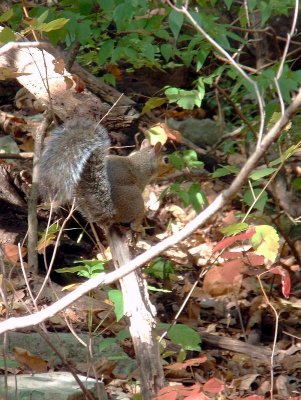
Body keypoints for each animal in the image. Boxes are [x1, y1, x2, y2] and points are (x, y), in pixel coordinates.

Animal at [39, 118, 171, 228]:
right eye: (166, 160)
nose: (173, 169)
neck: (142, 158)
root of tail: (111, 214)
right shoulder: (142, 179)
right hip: (135, 200)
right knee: (134, 221)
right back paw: (140, 227)